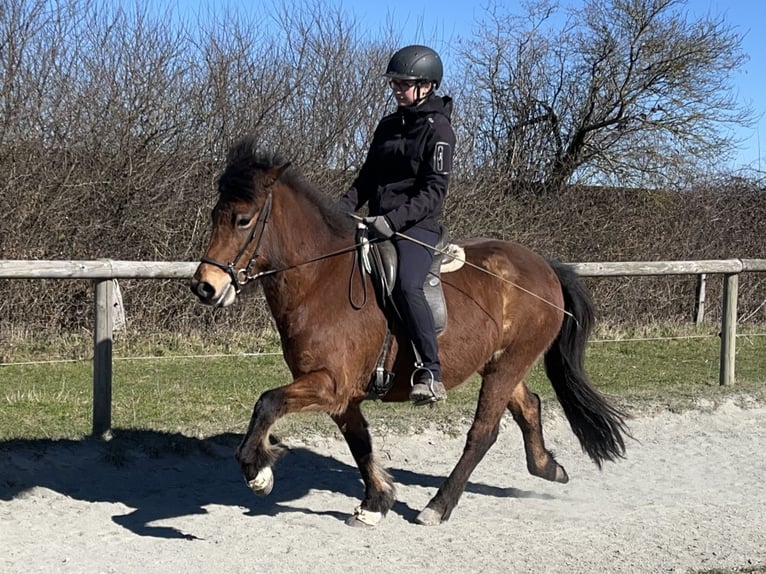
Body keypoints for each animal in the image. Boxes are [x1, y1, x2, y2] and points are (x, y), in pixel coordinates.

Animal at [190, 136, 629, 527]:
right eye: (213, 216)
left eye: (243, 219)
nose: (205, 286)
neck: (321, 280)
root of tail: (544, 267)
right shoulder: (341, 392)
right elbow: (359, 441)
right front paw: (375, 502)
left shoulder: (330, 383)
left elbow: (267, 402)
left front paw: (258, 471)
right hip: (500, 362)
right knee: (529, 405)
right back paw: (547, 467)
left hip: (509, 364)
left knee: (483, 432)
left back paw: (439, 506)